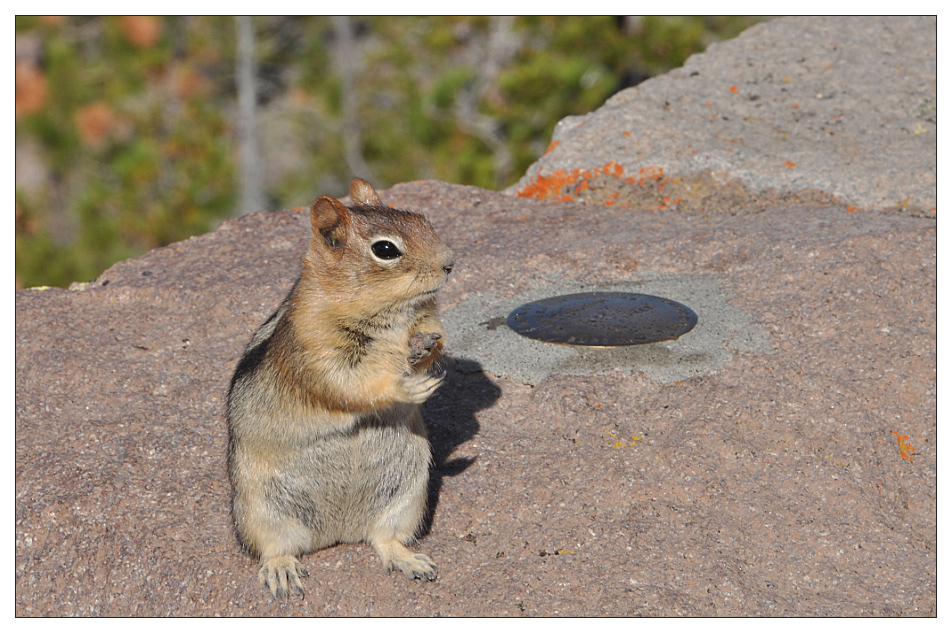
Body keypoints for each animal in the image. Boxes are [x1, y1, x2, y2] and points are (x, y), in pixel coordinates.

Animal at [229, 178, 456, 596]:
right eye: (385, 249)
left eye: (423, 220)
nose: (449, 262)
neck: (389, 315)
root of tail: (338, 534)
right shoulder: (317, 350)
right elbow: (347, 385)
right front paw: (407, 387)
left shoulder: (427, 318)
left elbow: (433, 338)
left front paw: (424, 349)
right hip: (258, 509)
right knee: (274, 547)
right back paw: (281, 571)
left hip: (408, 497)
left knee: (384, 538)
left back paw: (409, 560)